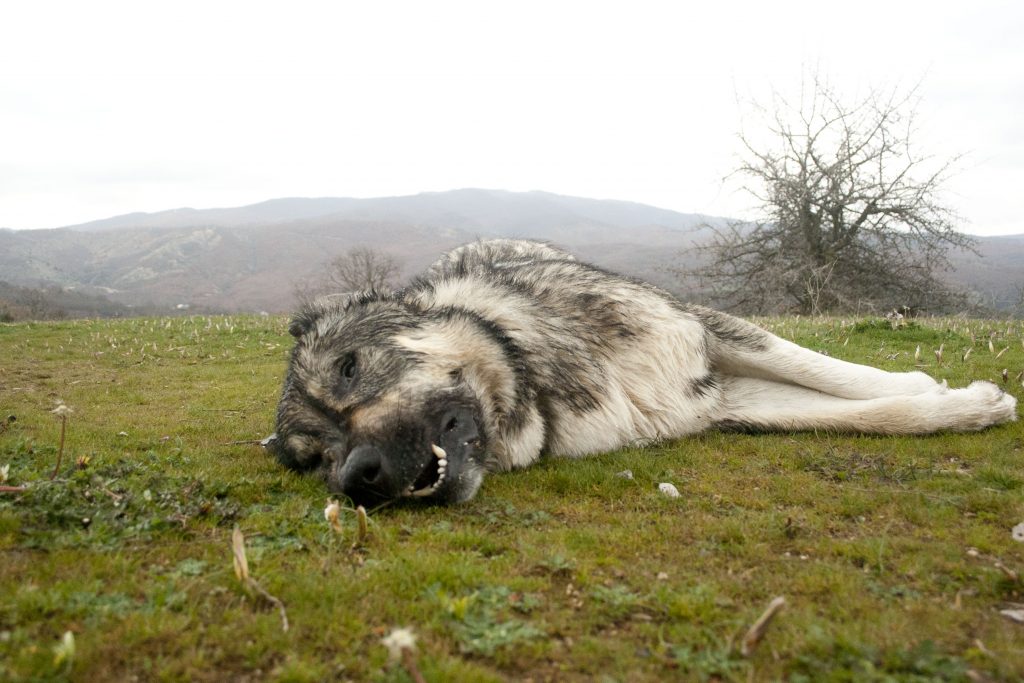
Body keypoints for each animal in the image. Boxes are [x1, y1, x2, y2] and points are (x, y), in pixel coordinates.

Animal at [268, 237, 1019, 505]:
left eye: (350, 367)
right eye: (315, 458)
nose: (357, 477)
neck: (535, 371)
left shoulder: (706, 334)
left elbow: (839, 375)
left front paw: (948, 392)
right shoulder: (723, 400)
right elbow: (865, 412)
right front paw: (957, 403)